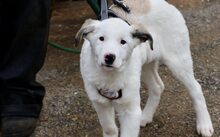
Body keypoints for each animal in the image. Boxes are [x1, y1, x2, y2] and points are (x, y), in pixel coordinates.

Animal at [75, 0, 213, 137]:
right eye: (101, 38)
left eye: (123, 42)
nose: (109, 57)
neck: (110, 76)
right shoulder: (100, 104)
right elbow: (110, 129)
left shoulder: (131, 109)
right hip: (145, 66)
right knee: (157, 87)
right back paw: (145, 117)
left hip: (178, 61)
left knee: (196, 88)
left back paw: (204, 125)